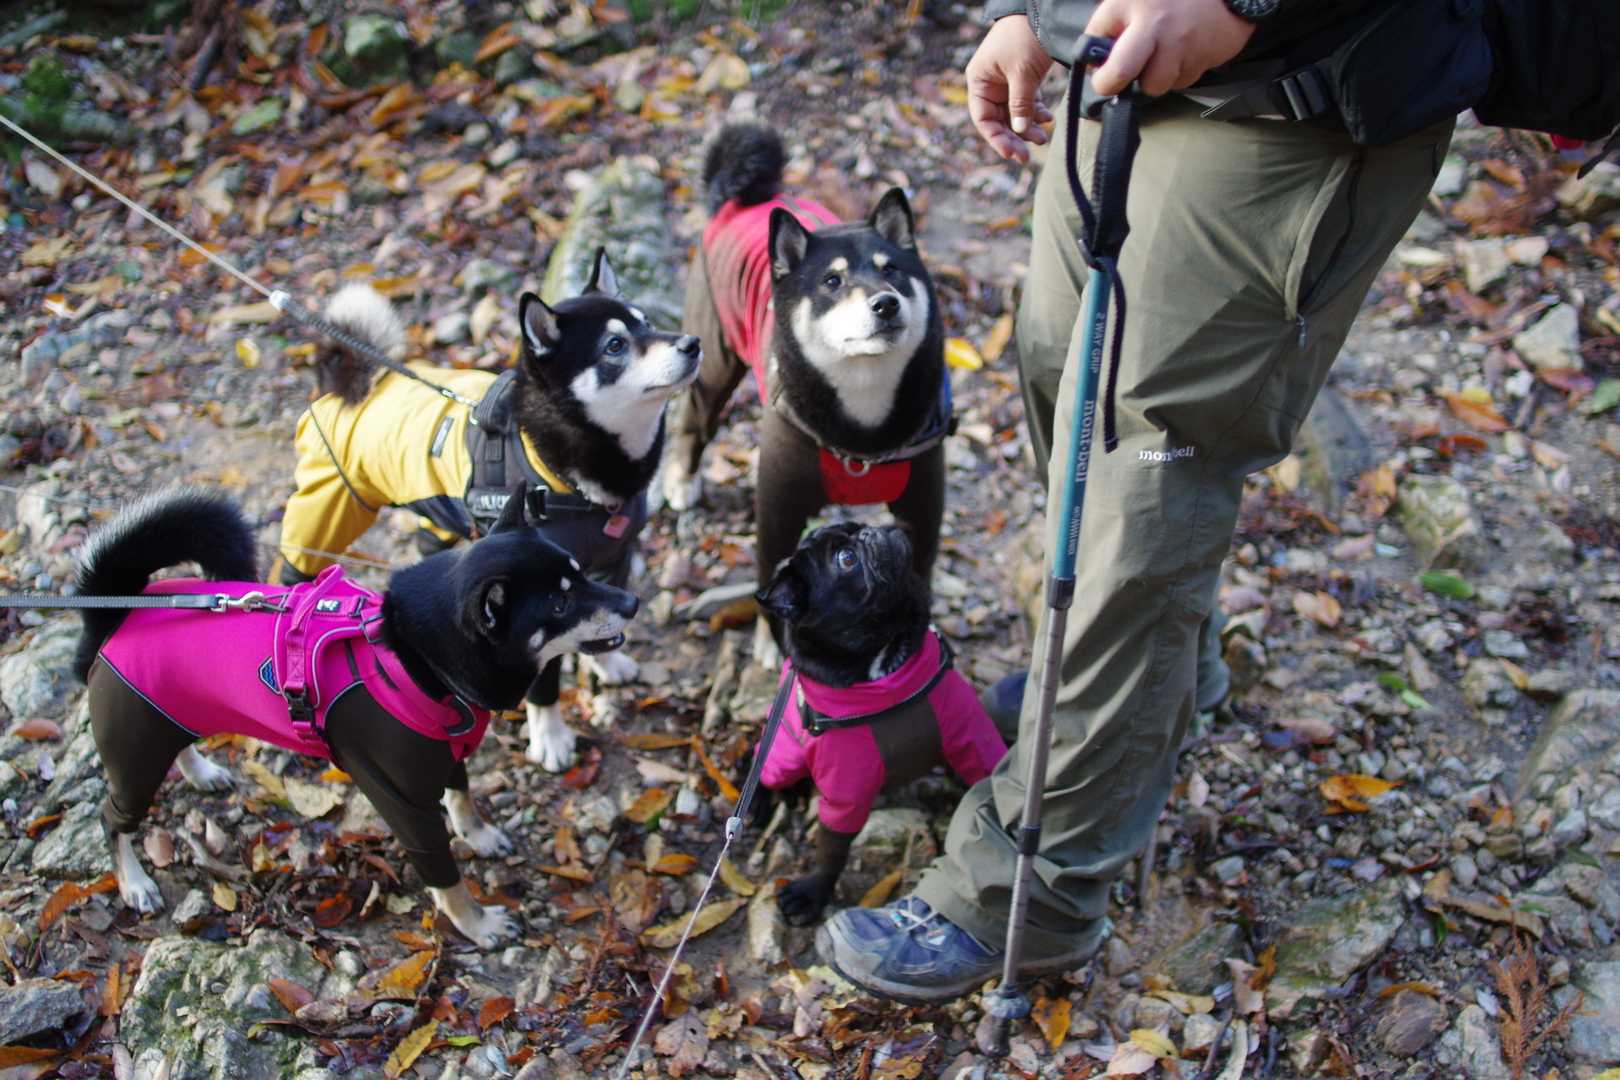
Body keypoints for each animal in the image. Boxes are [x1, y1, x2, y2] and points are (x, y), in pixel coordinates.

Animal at [76, 485, 637, 948]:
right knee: (111, 818)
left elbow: (462, 797)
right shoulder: (402, 800)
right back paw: (135, 882)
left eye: (580, 573)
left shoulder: (446, 753)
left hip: (164, 723)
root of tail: (118, 613)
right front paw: (477, 924)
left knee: (178, 747)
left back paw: (201, 772)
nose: (631, 601)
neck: (417, 657)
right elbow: (445, 873)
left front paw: (477, 835)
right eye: (560, 604)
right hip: (135, 754)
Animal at [272, 250, 700, 773]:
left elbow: (605, 615)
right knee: (292, 565)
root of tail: (351, 384)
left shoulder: (613, 559)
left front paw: (608, 660)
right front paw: (550, 735)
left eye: (648, 323)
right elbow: (546, 680)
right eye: (615, 345)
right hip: (327, 509)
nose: (692, 343)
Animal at [661, 123, 952, 668]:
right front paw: (775, 646)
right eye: (832, 281)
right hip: (714, 358)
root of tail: (739, 199)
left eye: (892, 271)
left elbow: (916, 574)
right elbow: (773, 578)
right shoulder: (780, 506)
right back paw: (682, 480)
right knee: (693, 420)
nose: (886, 304)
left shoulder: (922, 511)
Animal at [753, 522, 1007, 925]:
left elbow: (986, 775)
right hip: (784, 755)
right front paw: (813, 893)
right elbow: (832, 850)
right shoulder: (846, 793)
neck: (884, 661)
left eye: (857, 529)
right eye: (846, 559)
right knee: (762, 766)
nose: (877, 530)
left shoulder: (972, 737)